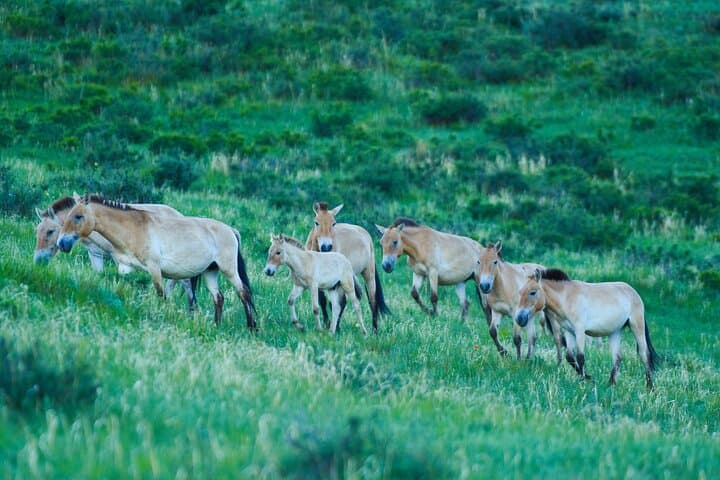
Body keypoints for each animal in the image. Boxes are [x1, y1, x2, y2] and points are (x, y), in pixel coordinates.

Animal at [34, 196, 198, 309]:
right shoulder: (95, 254)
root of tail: (180, 216)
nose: (38, 261)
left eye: (50, 231)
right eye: (37, 231)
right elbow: (98, 274)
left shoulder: (117, 257)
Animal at [56, 194, 255, 328]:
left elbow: (161, 295)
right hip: (210, 272)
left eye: (78, 216)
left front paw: (162, 315)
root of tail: (230, 230)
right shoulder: (125, 267)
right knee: (218, 297)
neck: (136, 229)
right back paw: (217, 326)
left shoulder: (154, 268)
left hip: (229, 270)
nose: (61, 243)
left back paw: (252, 327)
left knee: (243, 292)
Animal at [305, 202, 390, 333]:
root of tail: (364, 232)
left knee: (372, 300)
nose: (326, 246)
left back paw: (374, 330)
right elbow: (322, 301)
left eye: (333, 223)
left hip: (367, 275)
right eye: (316, 222)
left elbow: (336, 303)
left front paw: (331, 326)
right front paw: (326, 323)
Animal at [514, 268, 659, 389]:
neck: (567, 298)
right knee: (617, 357)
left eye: (532, 292)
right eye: (519, 292)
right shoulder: (569, 332)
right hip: (615, 332)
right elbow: (569, 356)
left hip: (637, 326)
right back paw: (610, 384)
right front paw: (589, 378)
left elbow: (580, 357)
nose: (519, 318)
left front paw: (583, 381)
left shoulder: (579, 330)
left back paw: (650, 386)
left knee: (644, 354)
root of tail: (633, 292)